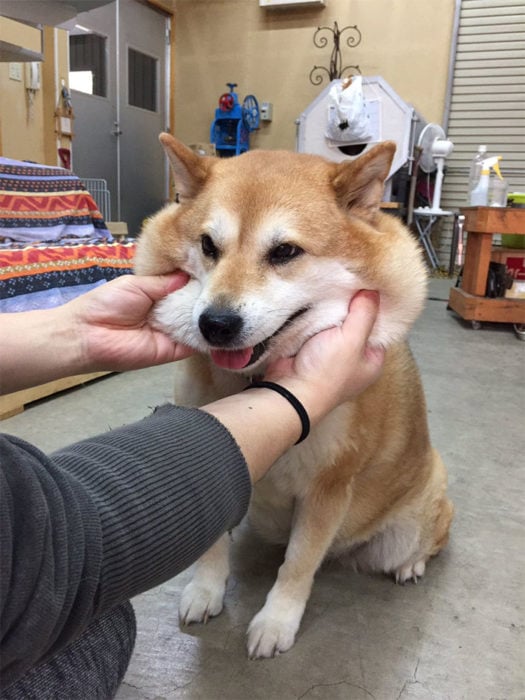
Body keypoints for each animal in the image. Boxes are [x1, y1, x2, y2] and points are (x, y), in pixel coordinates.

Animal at [133, 135, 452, 660]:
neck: (254, 381)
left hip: (412, 522)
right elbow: (214, 545)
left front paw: (277, 620)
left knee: (430, 540)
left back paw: (412, 564)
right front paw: (206, 589)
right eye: (208, 246)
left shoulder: (329, 488)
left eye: (284, 251)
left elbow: (299, 565)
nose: (215, 324)